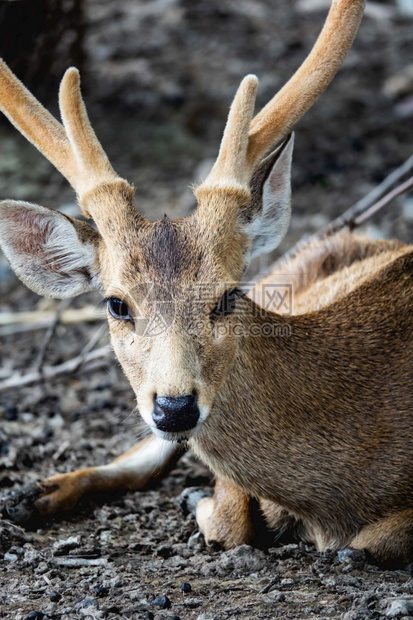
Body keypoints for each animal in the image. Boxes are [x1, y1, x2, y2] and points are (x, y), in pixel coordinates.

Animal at [0, 0, 412, 564]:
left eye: (227, 296)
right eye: (116, 304)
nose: (175, 407)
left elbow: (369, 542)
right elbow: (232, 520)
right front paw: (204, 499)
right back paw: (29, 495)